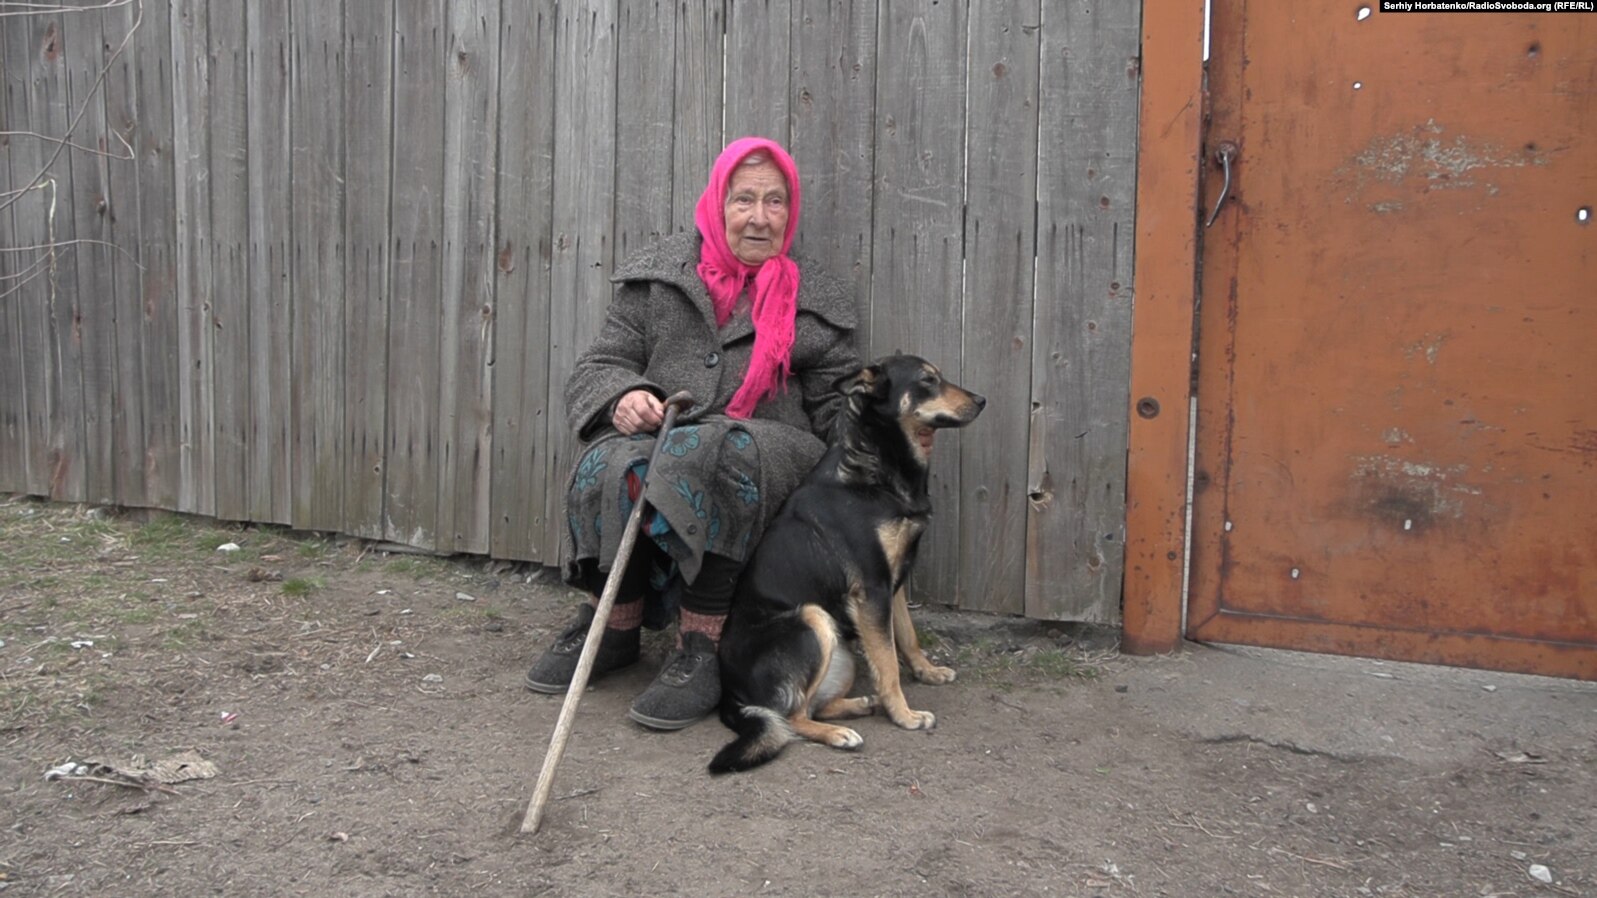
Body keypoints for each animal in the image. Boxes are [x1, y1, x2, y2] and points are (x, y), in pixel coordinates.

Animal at [712, 353, 983, 773]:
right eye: (927, 380)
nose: (982, 400)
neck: (877, 464)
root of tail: (729, 692)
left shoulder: (893, 584)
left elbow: (907, 636)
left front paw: (927, 671)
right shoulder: (871, 590)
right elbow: (888, 664)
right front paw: (905, 715)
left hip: (842, 655)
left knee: (813, 705)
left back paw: (858, 705)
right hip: (813, 619)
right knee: (790, 717)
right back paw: (839, 734)